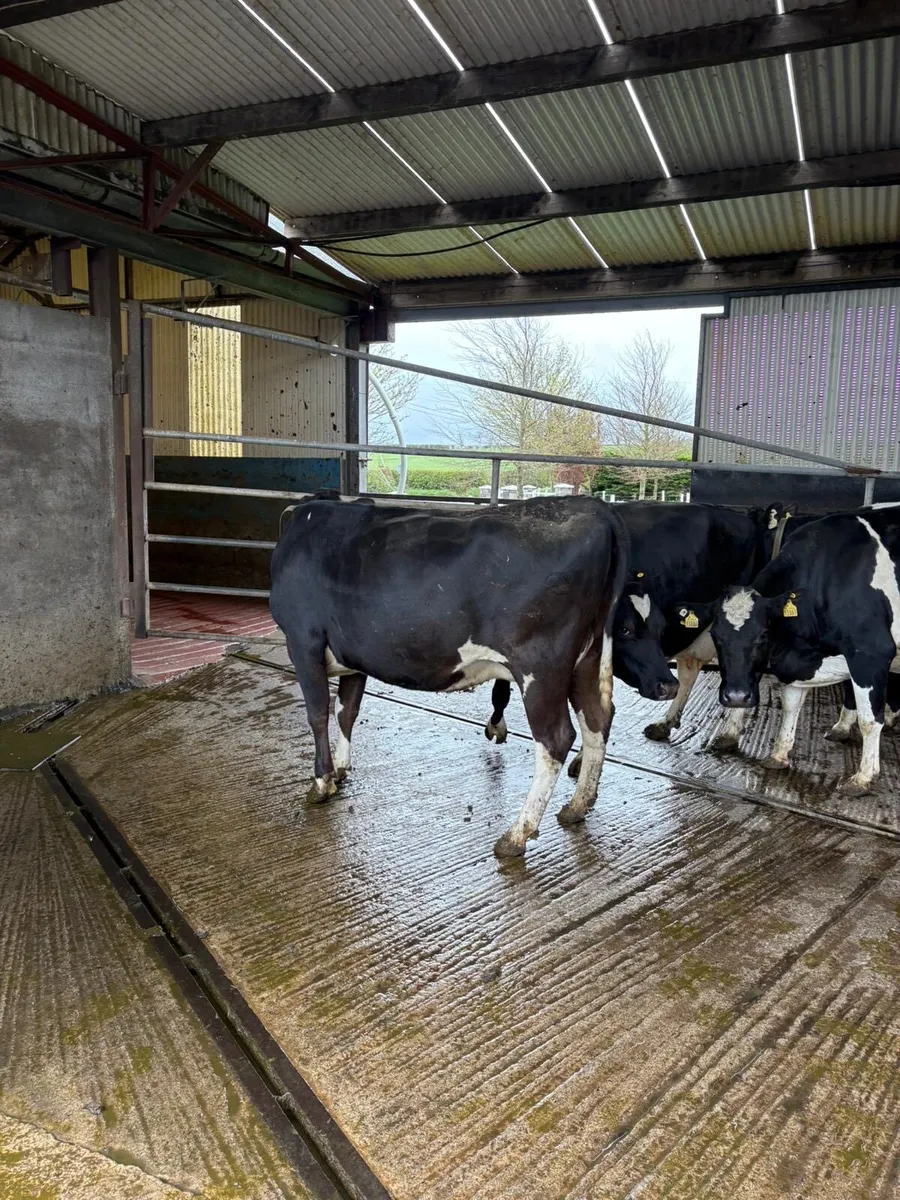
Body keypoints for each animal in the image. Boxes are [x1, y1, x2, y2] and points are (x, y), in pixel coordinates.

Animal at [269, 495, 674, 858]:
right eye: (629, 630)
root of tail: (593, 506)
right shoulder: (351, 654)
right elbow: (347, 710)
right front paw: (340, 769)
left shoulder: (303, 641)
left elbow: (318, 713)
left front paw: (321, 782)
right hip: (587, 660)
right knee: (597, 720)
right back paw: (577, 806)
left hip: (541, 667)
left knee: (556, 739)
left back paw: (516, 835)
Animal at [683, 505, 900, 793]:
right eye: (716, 636)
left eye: (763, 634)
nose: (736, 697)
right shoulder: (800, 659)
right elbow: (790, 704)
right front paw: (779, 754)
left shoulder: (871, 652)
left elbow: (870, 719)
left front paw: (863, 777)